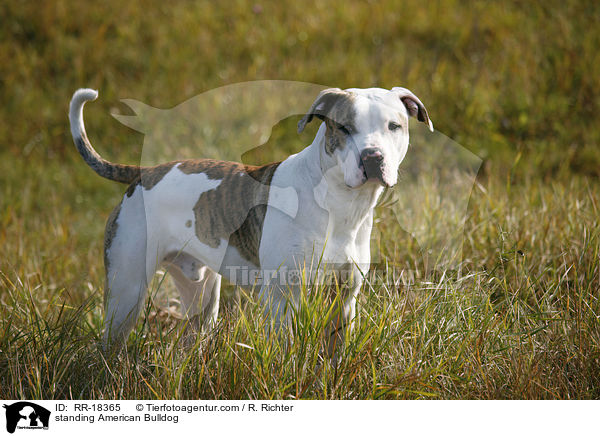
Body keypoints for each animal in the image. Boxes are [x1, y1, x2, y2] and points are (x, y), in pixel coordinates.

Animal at [69, 85, 432, 350]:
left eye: (394, 127)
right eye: (344, 127)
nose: (372, 157)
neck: (338, 204)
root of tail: (142, 174)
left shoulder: (344, 299)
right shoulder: (283, 298)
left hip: (201, 296)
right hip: (126, 293)